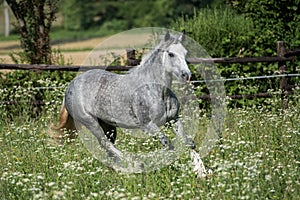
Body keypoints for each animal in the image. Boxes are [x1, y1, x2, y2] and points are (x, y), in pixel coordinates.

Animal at [53, 31, 195, 161]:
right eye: (171, 54)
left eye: (185, 53)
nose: (186, 75)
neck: (157, 91)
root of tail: (70, 86)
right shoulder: (147, 125)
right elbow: (168, 144)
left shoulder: (173, 119)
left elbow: (188, 142)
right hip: (90, 122)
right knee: (107, 144)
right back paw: (131, 162)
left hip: (108, 125)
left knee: (108, 148)